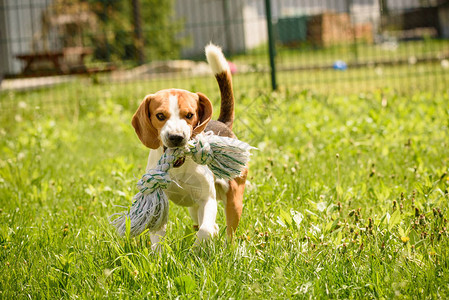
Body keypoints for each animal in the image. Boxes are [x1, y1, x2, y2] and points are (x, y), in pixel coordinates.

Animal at [131, 44, 247, 246]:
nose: (176, 137)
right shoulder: (159, 199)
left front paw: (197, 247)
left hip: (233, 199)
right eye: (160, 115)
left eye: (190, 115)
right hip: (194, 208)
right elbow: (158, 237)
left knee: (229, 232)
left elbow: (205, 230)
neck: (179, 167)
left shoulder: (207, 199)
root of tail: (222, 122)